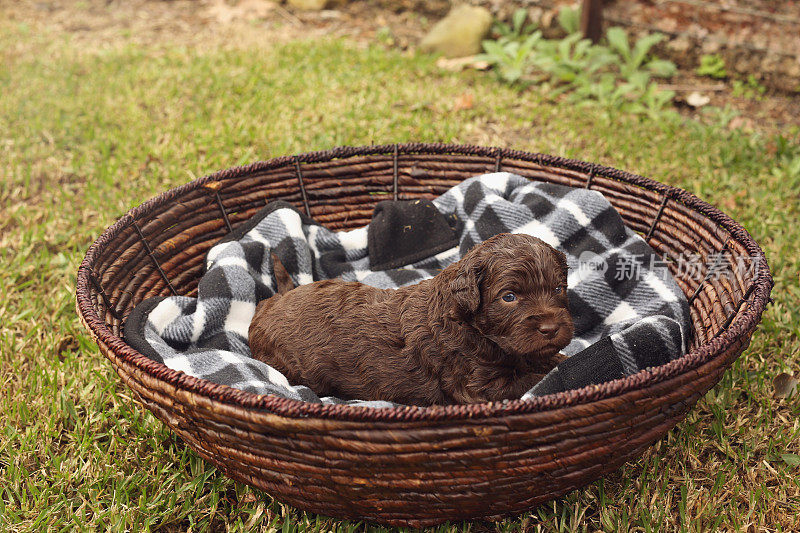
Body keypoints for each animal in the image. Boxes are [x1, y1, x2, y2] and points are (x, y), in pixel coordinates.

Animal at [247, 232, 572, 404]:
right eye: (509, 297)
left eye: (558, 289)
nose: (551, 328)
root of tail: (273, 301)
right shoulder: (477, 387)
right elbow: (530, 379)